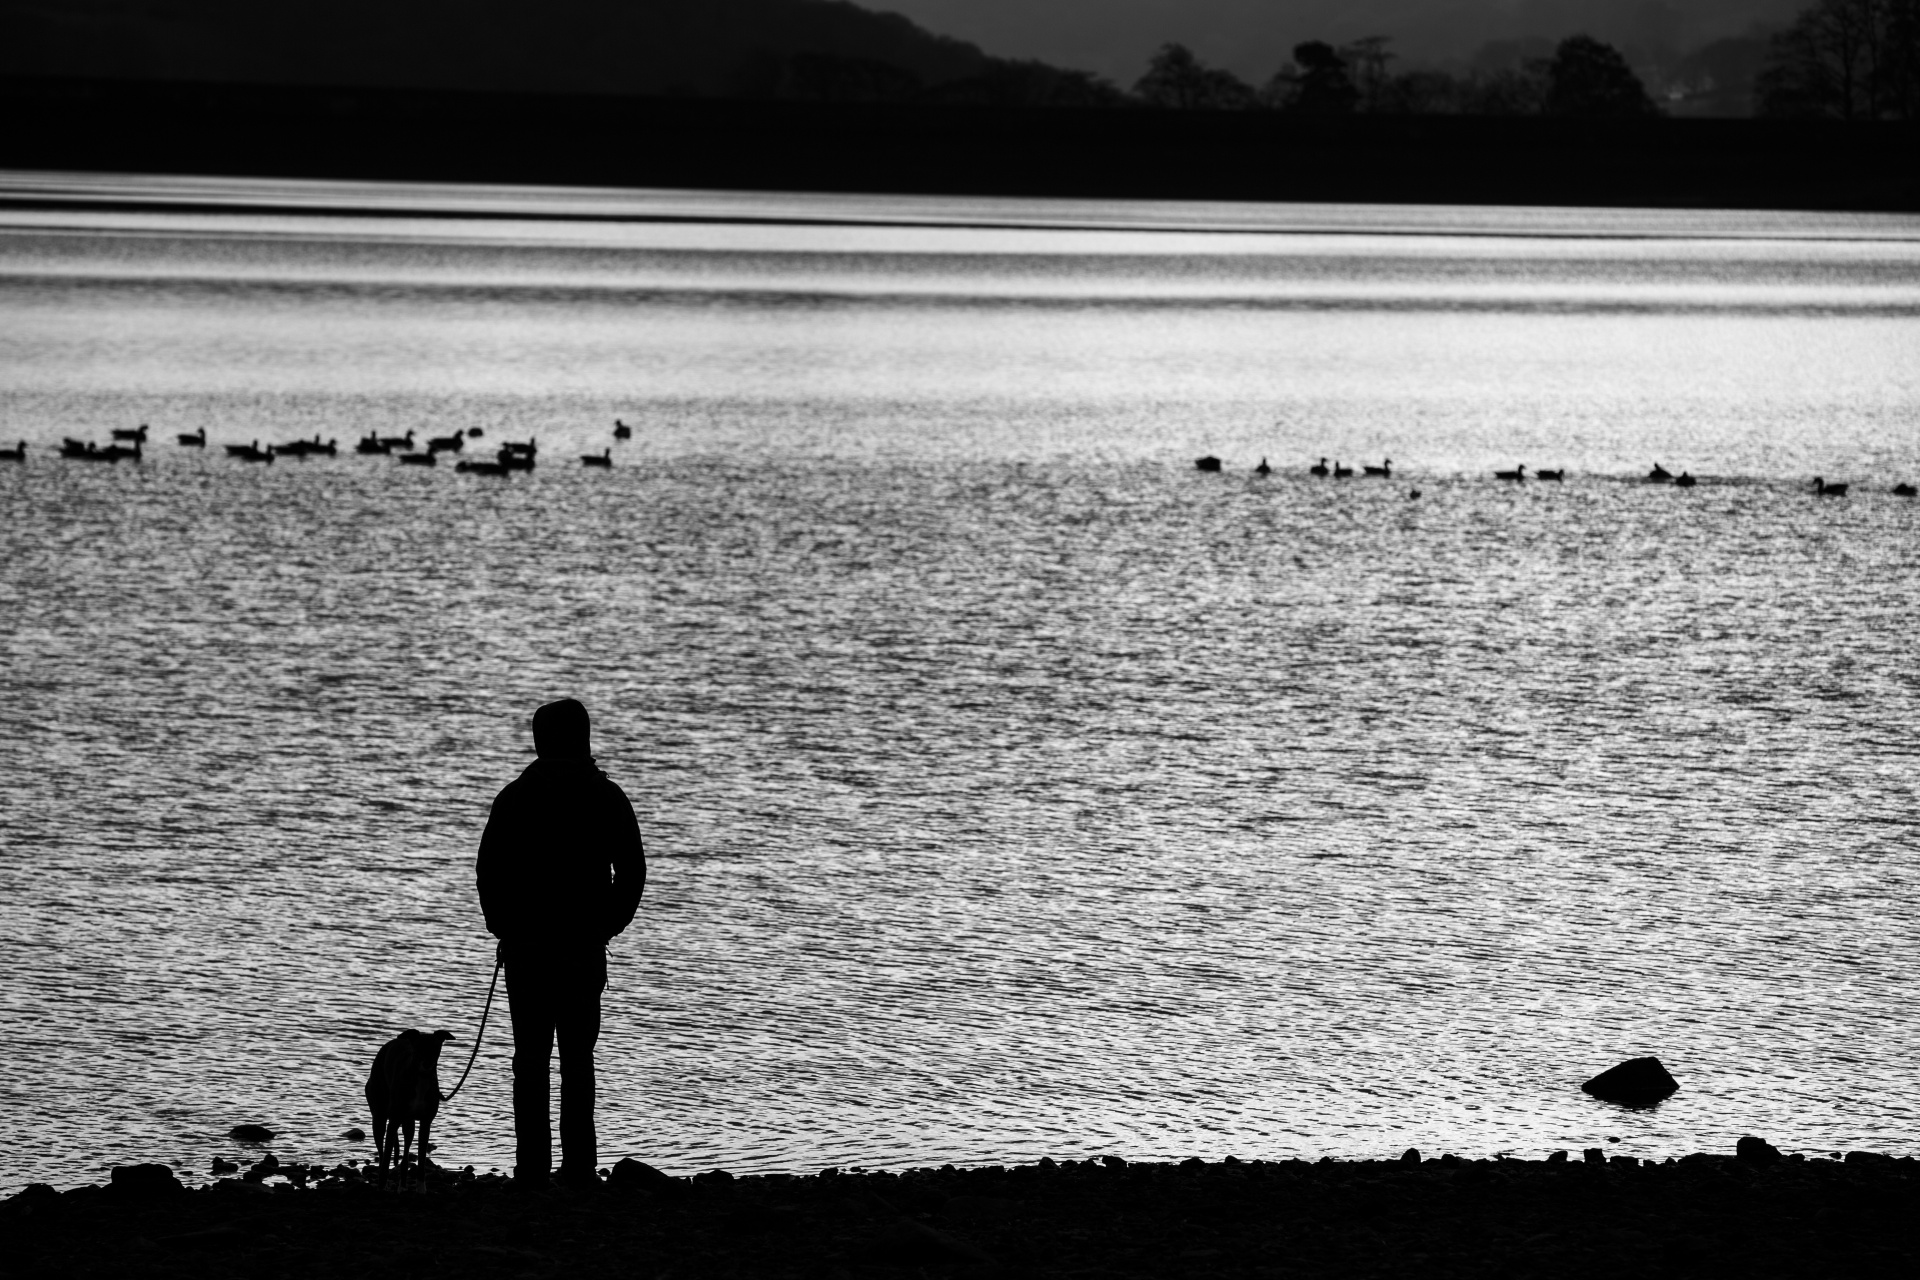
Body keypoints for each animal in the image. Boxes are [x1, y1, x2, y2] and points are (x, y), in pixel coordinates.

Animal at [360, 1028, 451, 1189]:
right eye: (419, 1047)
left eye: (436, 1047)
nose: (427, 1064)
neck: (421, 1078)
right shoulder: (394, 1121)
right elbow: (385, 1162)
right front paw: (382, 1185)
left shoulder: (425, 1123)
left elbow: (421, 1160)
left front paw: (421, 1189)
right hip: (379, 1118)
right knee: (382, 1153)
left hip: (408, 1123)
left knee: (405, 1153)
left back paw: (402, 1185)